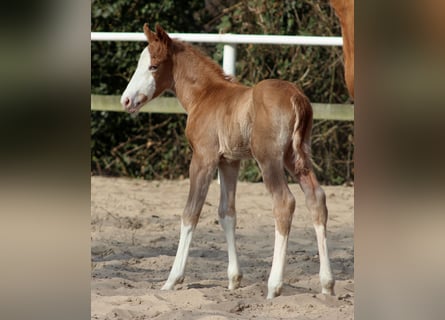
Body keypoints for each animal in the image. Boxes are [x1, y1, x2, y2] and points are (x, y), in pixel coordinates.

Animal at [119, 23, 334, 298]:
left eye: (154, 66)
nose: (126, 101)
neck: (205, 95)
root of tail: (297, 97)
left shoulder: (203, 158)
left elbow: (191, 212)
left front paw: (172, 280)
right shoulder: (228, 161)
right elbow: (227, 212)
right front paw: (234, 280)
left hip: (269, 159)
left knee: (284, 203)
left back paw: (274, 287)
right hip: (297, 157)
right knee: (316, 199)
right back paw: (327, 284)